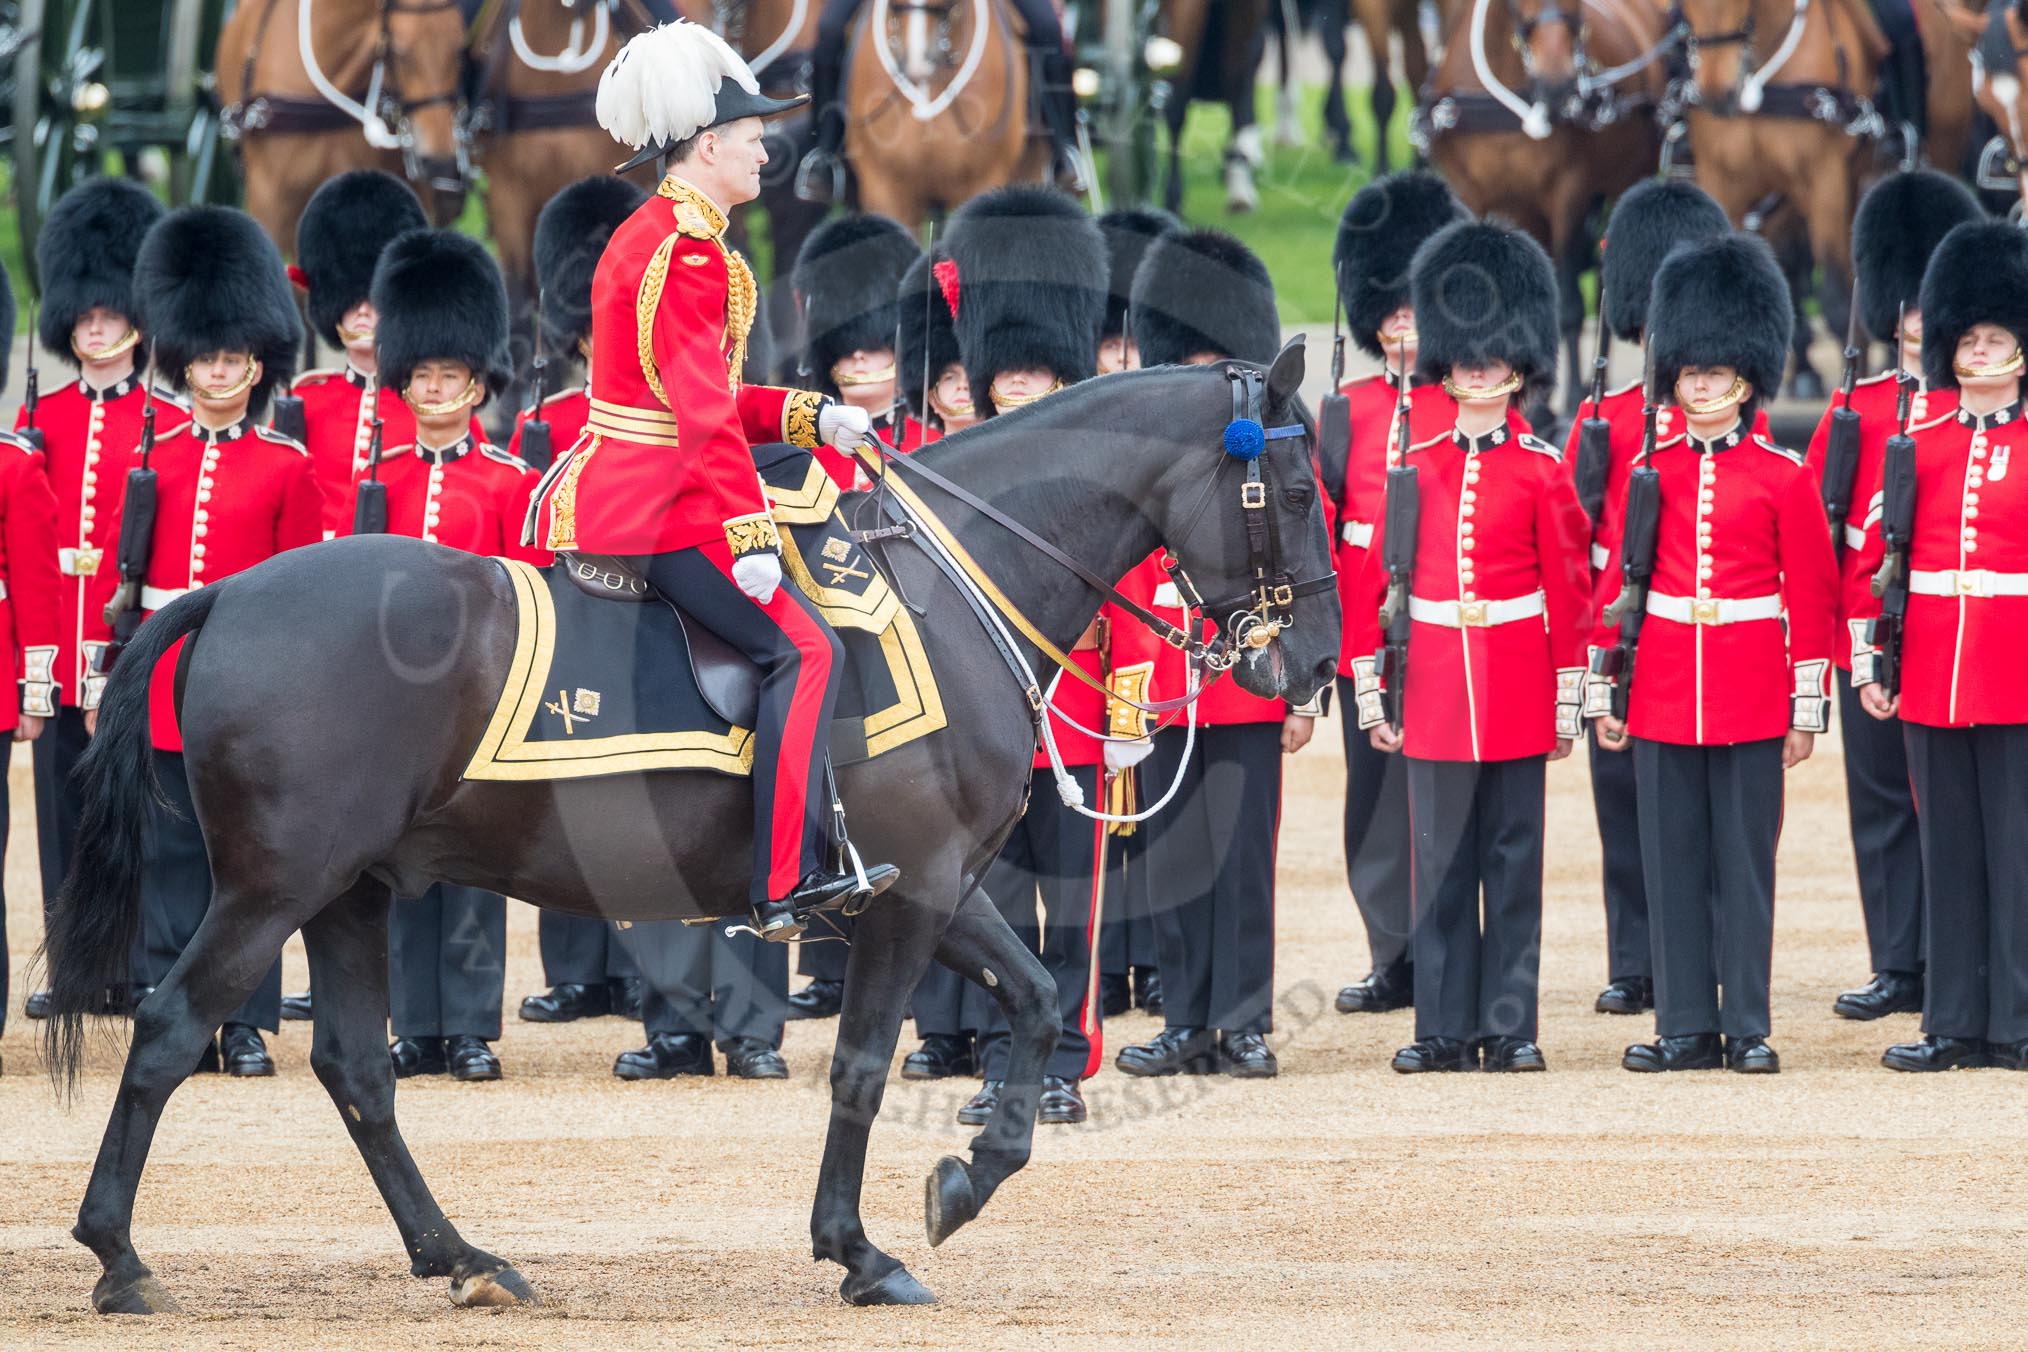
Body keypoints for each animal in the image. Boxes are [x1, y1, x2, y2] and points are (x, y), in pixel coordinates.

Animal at [40, 352, 1340, 1315]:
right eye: (1301, 493)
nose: (1319, 666)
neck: (952, 589)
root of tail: (231, 590)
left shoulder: (941, 884)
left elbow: (1025, 997)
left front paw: (966, 1180)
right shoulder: (906, 891)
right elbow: (864, 1062)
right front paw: (860, 1245)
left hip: (347, 888)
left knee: (358, 1069)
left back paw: (461, 1255)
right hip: (273, 887)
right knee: (170, 1025)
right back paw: (118, 1253)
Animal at [1418, 0, 1665, 416]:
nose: (1558, 84)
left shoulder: (1568, 195)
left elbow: (1568, 305)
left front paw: (1570, 396)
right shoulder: (1474, 195)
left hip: (1628, 179)